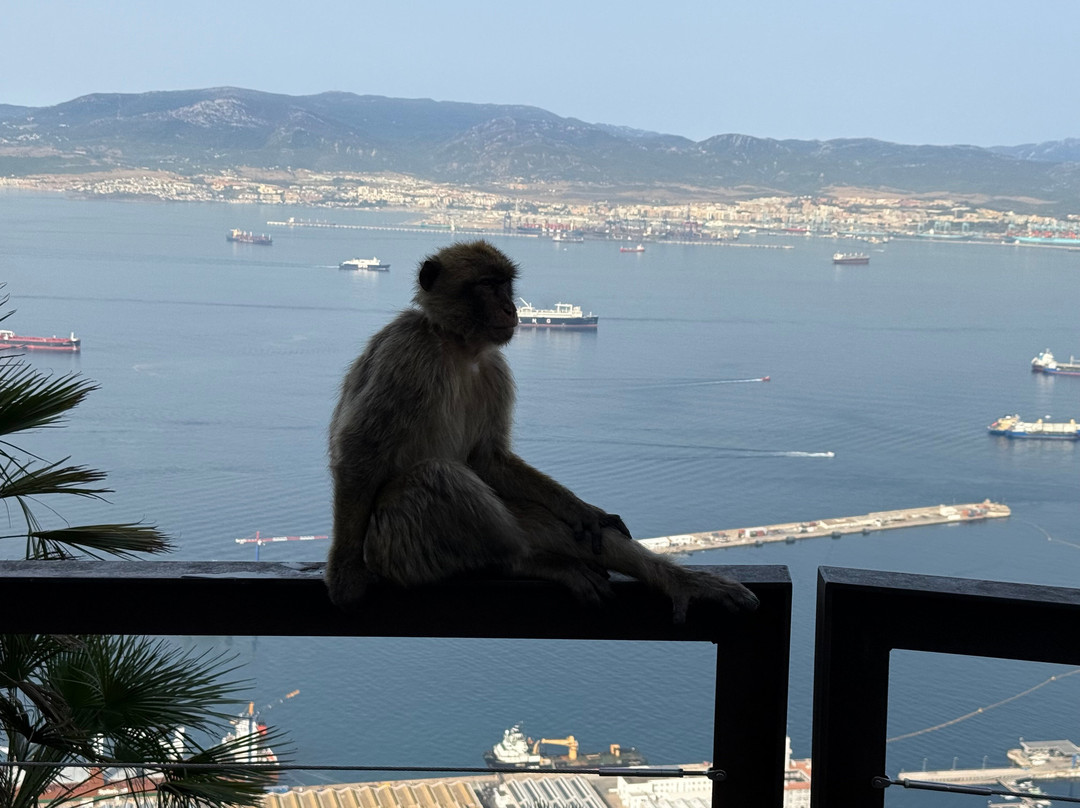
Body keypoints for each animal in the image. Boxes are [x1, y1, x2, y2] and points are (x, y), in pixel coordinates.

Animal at [326, 240, 759, 620]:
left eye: (506, 284)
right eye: (488, 285)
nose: (510, 306)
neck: (458, 347)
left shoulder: (494, 369)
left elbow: (490, 458)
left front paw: (583, 511)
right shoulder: (407, 354)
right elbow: (360, 450)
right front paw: (344, 575)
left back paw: (678, 580)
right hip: (396, 546)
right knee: (438, 476)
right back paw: (523, 562)